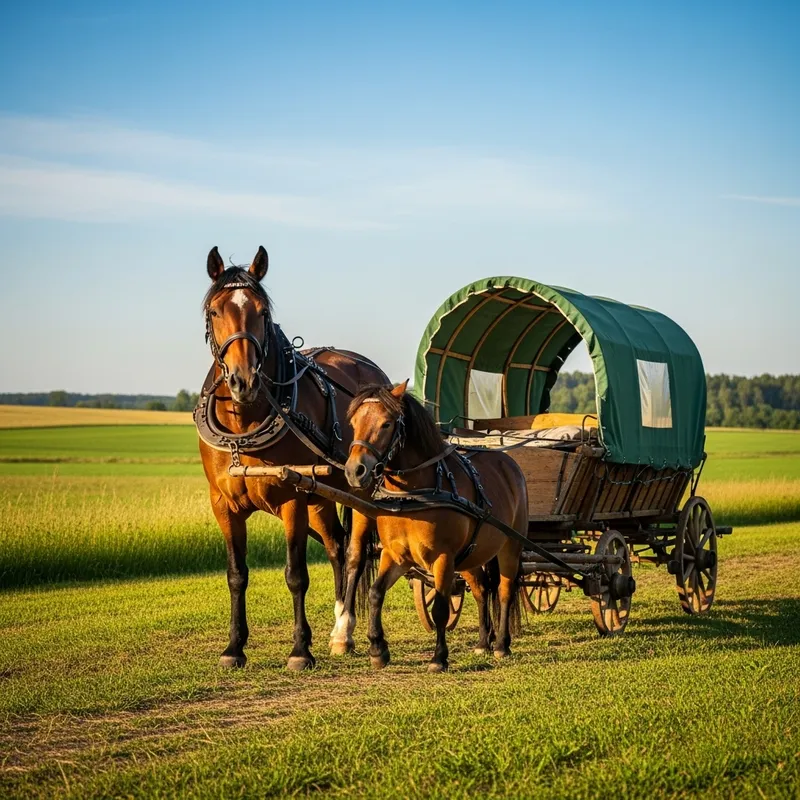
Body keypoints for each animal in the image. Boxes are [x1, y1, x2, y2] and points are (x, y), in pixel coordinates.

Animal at [197, 246, 388, 670]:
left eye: (262, 312)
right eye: (215, 311)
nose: (243, 381)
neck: (244, 424)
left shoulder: (292, 499)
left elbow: (296, 574)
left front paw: (300, 649)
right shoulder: (223, 505)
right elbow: (236, 574)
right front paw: (233, 647)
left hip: (357, 492)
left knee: (354, 553)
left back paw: (345, 628)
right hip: (322, 496)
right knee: (336, 548)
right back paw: (340, 625)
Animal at [343, 381, 529, 672]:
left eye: (386, 423)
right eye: (353, 422)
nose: (355, 471)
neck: (413, 494)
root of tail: (509, 463)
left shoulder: (443, 558)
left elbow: (440, 607)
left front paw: (439, 658)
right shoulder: (396, 555)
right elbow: (375, 593)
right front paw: (377, 649)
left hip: (511, 546)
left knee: (505, 591)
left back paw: (500, 644)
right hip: (472, 555)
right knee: (481, 590)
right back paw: (482, 642)